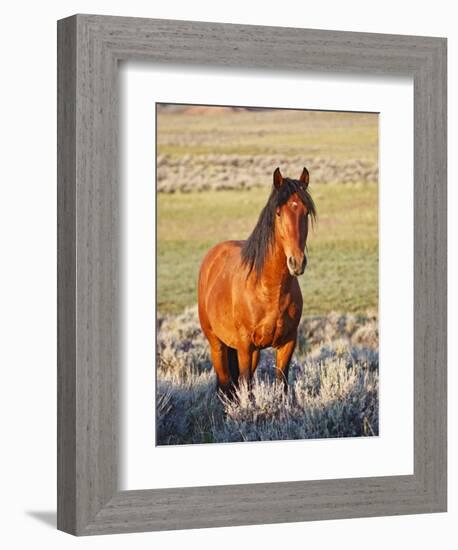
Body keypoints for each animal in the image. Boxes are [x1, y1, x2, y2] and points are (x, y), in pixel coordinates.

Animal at [197, 167, 314, 396]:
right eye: (278, 213)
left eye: (305, 212)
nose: (297, 262)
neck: (269, 289)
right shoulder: (245, 346)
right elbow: (246, 387)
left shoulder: (287, 344)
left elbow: (281, 385)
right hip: (218, 345)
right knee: (226, 385)